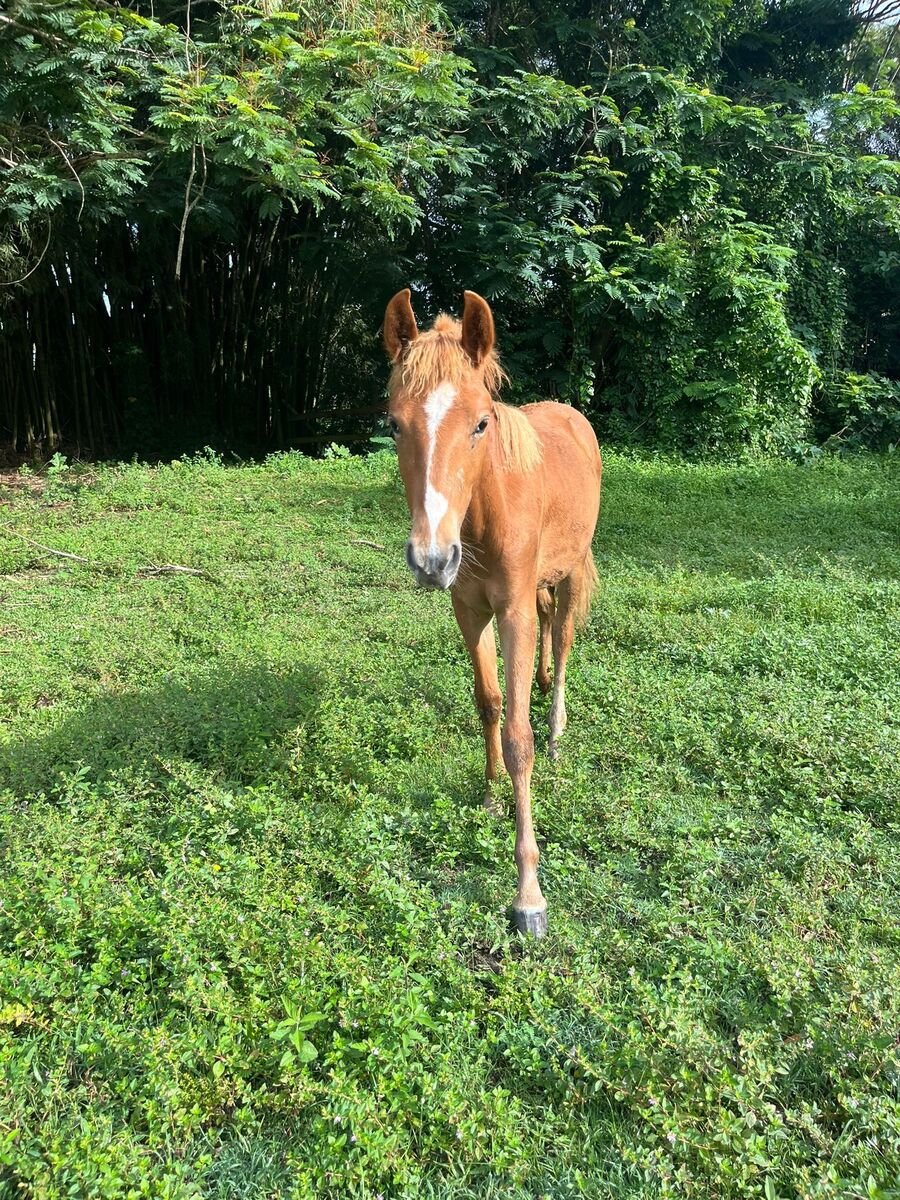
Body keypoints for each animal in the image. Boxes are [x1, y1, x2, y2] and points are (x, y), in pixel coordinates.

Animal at [383, 289, 602, 936]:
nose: (431, 558)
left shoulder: (512, 614)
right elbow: (489, 704)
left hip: (571, 571)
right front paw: (489, 793)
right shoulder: (470, 611)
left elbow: (518, 736)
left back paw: (557, 726)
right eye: (394, 423)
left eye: (481, 422)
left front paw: (528, 894)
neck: (483, 514)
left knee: (563, 639)